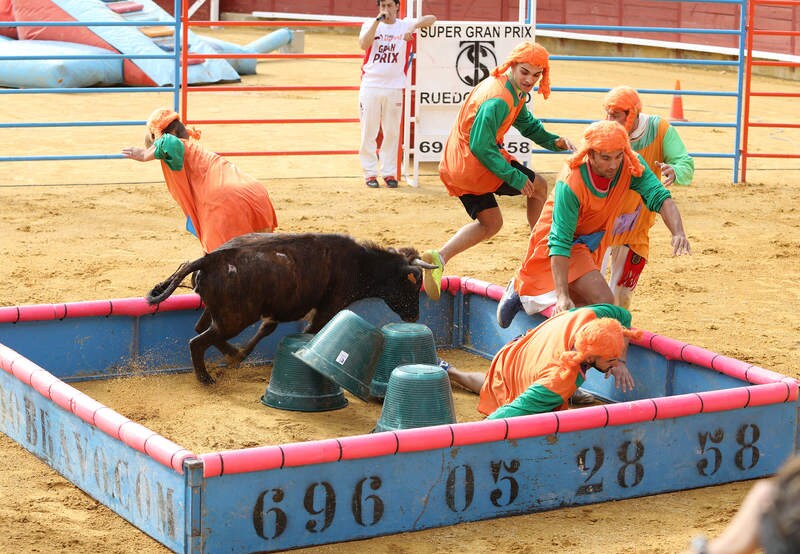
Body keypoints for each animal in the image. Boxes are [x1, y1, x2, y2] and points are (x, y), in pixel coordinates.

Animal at [148, 231, 440, 382]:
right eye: (412, 285)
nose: (414, 316)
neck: (360, 263)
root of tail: (209, 259)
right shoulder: (327, 308)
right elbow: (311, 332)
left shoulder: (281, 310)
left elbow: (267, 328)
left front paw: (241, 355)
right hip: (235, 318)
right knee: (198, 341)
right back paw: (206, 378)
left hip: (222, 313)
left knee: (203, 330)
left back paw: (233, 355)